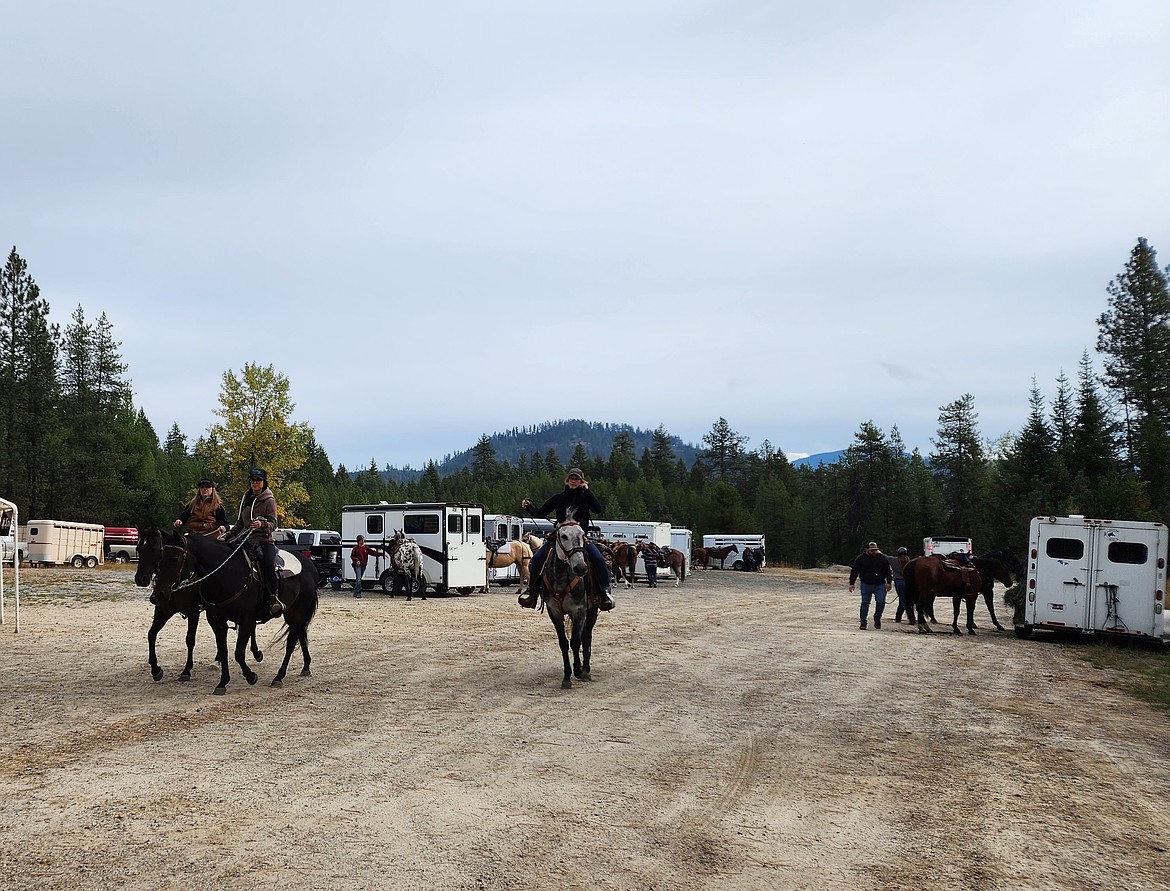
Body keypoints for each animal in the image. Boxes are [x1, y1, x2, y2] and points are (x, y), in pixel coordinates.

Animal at [135, 521, 262, 678]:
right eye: (138, 548)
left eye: (153, 547)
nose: (140, 579)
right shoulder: (163, 610)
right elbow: (151, 634)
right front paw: (155, 669)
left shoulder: (193, 611)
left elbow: (190, 639)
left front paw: (186, 670)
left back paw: (253, 653)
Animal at [148, 528, 320, 692]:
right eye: (160, 558)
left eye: (174, 558)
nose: (159, 594)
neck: (228, 573)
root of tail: (309, 565)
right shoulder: (217, 621)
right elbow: (223, 650)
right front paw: (222, 683)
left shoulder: (246, 620)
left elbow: (238, 653)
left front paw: (250, 676)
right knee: (300, 634)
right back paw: (306, 666)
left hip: (296, 612)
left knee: (291, 642)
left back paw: (279, 677)